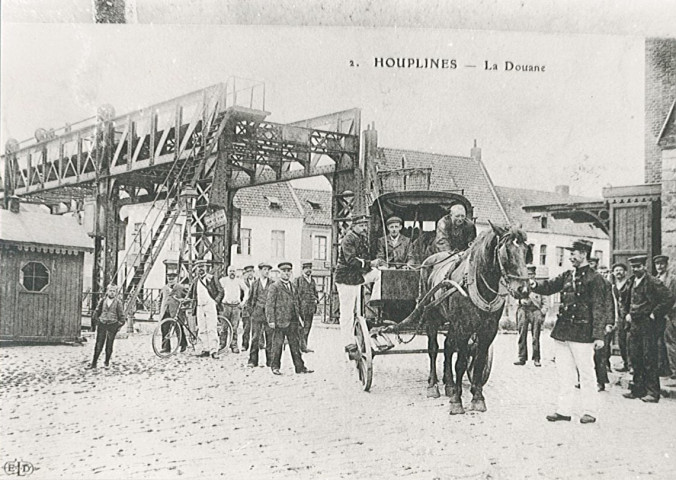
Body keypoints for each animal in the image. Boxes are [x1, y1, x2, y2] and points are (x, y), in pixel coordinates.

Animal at [414, 223, 532, 414]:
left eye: (526, 251)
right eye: (506, 251)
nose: (523, 289)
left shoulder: (488, 330)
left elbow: (478, 362)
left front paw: (477, 398)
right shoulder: (463, 328)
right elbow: (461, 363)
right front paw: (457, 402)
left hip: (452, 324)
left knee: (448, 347)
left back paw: (449, 385)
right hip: (432, 317)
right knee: (433, 349)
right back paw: (433, 386)